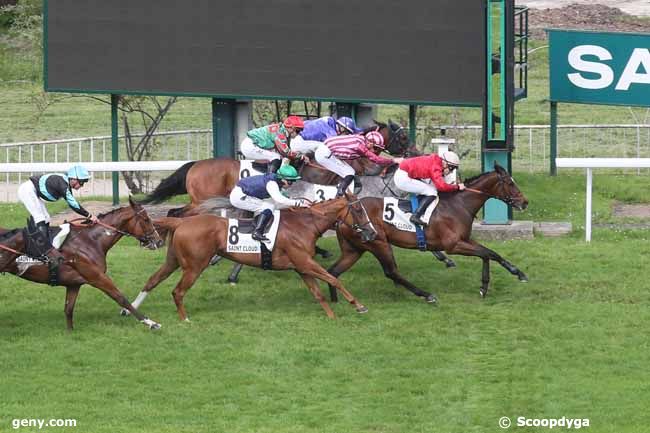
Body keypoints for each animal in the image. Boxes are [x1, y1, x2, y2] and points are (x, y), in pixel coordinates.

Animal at [0, 197, 165, 330]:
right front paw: (151, 323)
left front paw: (70, 332)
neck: (91, 240)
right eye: (146, 219)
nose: (159, 241)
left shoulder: (74, 284)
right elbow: (121, 298)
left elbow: (68, 310)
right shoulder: (97, 277)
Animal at [129, 194, 378, 318]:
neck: (305, 224)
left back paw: (129, 308)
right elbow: (334, 279)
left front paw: (332, 317)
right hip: (194, 266)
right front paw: (359, 306)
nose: (372, 232)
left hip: (173, 261)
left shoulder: (301, 267)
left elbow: (318, 293)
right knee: (178, 292)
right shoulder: (305, 262)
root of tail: (181, 222)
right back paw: (185, 320)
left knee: (152, 281)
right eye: (358, 210)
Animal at [326, 163, 528, 304]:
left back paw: (335, 300)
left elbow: (490, 254)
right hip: (378, 242)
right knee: (391, 272)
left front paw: (511, 275)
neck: (459, 205)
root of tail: (344, 213)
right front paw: (491, 283)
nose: (524, 202)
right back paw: (426, 295)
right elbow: (487, 253)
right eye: (510, 183)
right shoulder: (453, 245)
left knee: (333, 271)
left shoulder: (465, 239)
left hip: (354, 249)